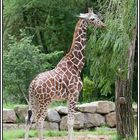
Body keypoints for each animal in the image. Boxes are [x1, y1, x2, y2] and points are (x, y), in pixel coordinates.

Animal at [24, 7, 105, 140]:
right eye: (93, 19)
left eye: (98, 17)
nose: (103, 25)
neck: (76, 65)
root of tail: (33, 83)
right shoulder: (74, 94)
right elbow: (71, 121)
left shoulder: (69, 96)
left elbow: (69, 120)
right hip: (45, 100)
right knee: (40, 119)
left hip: (34, 99)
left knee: (29, 119)